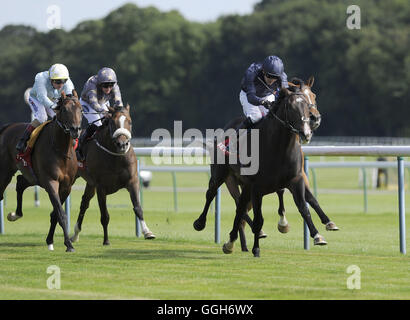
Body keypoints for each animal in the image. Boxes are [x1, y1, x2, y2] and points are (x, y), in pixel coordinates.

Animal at [0, 90, 82, 252]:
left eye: (81, 109)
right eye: (65, 110)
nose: (75, 130)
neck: (60, 149)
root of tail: (7, 127)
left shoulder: (66, 186)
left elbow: (55, 214)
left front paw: (50, 241)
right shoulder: (50, 182)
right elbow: (60, 213)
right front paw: (69, 245)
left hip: (32, 176)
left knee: (20, 182)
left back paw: (15, 214)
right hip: (5, 172)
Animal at [69, 105, 155, 245]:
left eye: (130, 122)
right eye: (112, 123)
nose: (122, 144)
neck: (116, 157)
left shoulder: (132, 181)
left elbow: (138, 208)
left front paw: (148, 232)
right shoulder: (101, 187)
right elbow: (105, 215)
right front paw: (106, 240)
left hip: (90, 184)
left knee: (84, 203)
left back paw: (75, 235)